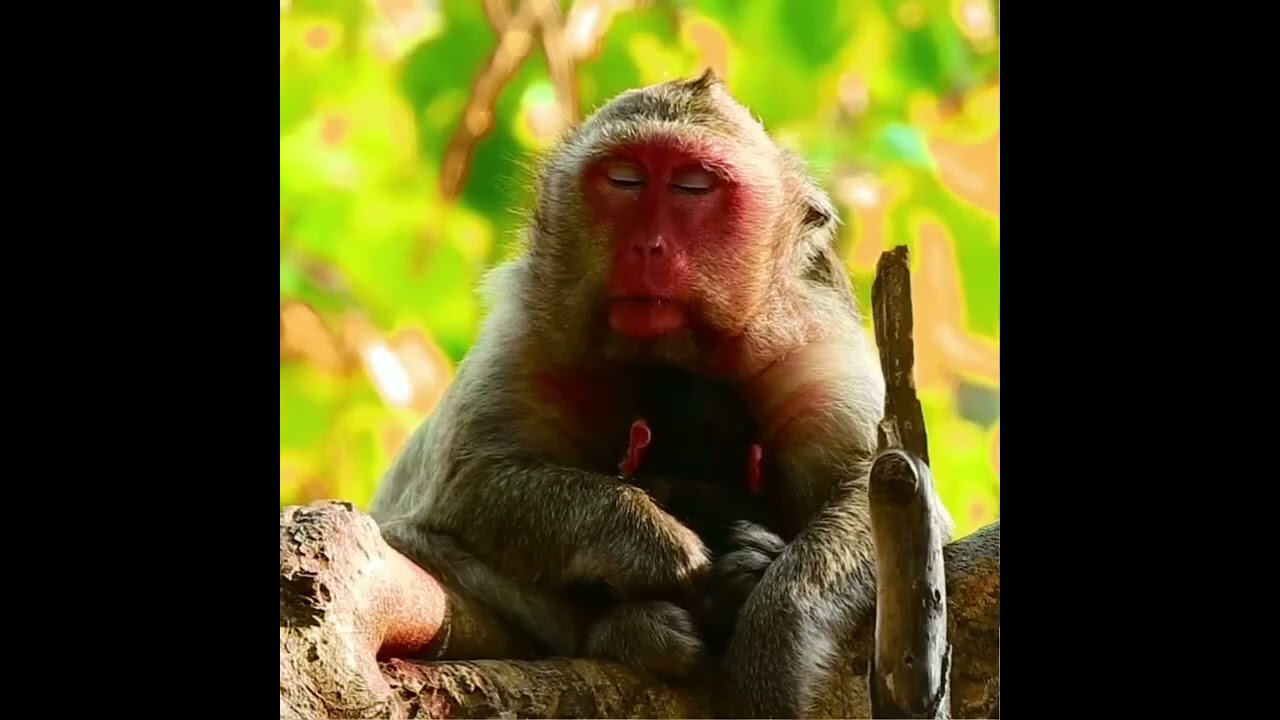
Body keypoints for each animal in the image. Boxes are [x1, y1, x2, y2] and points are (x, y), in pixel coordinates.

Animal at [370, 68, 955, 716]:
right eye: (625, 179)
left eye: (692, 186)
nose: (647, 246)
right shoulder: (529, 337)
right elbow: (469, 483)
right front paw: (648, 542)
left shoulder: (812, 357)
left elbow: (881, 494)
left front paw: (773, 635)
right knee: (411, 535)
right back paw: (630, 632)